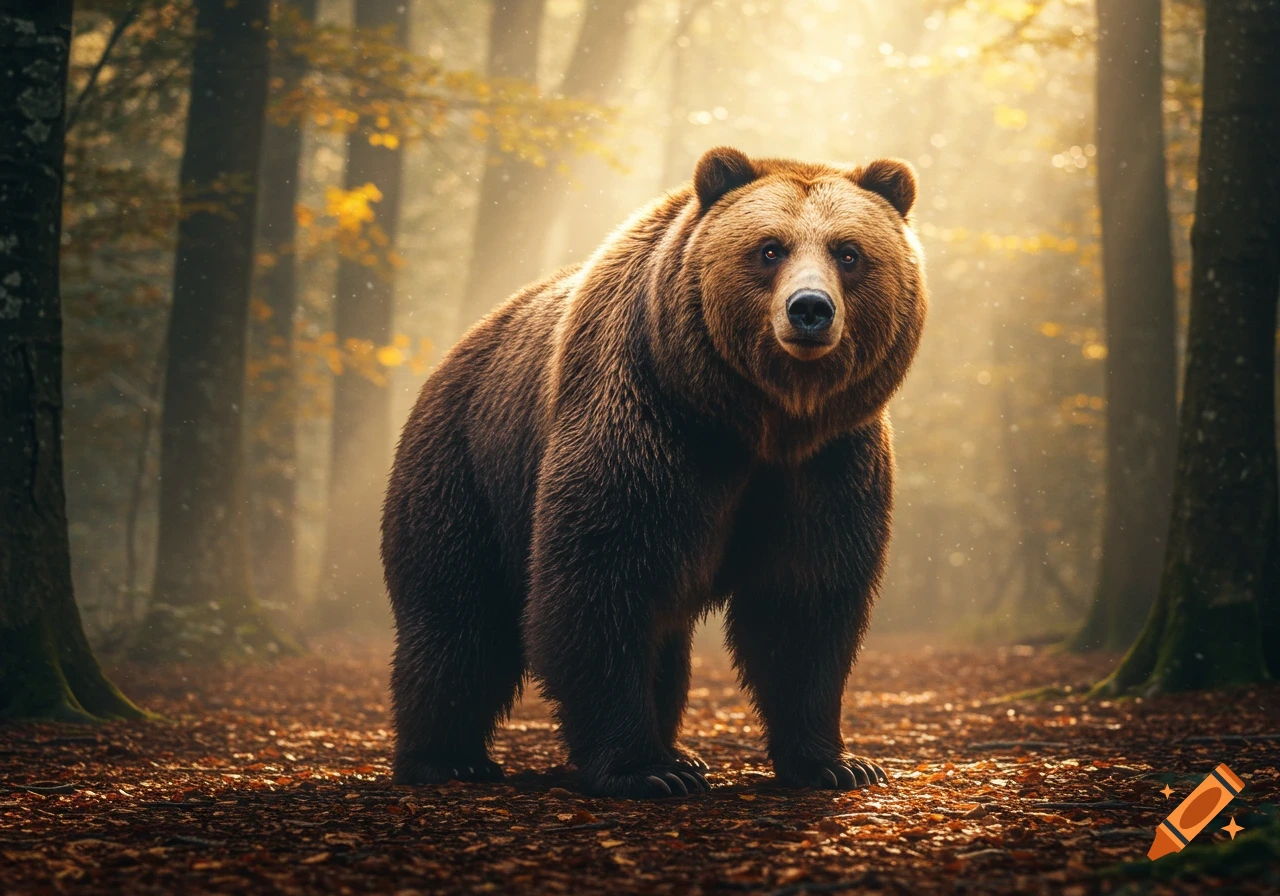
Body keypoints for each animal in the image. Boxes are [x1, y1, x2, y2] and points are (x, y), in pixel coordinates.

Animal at [381, 146, 927, 798]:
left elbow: (805, 601)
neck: (758, 419)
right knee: (458, 619)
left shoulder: (828, 461)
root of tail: (456, 350)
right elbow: (601, 580)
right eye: (769, 249)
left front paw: (835, 763)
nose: (810, 310)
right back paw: (448, 758)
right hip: (465, 466)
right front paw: (640, 769)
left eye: (849, 252)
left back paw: (681, 752)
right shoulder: (647, 421)